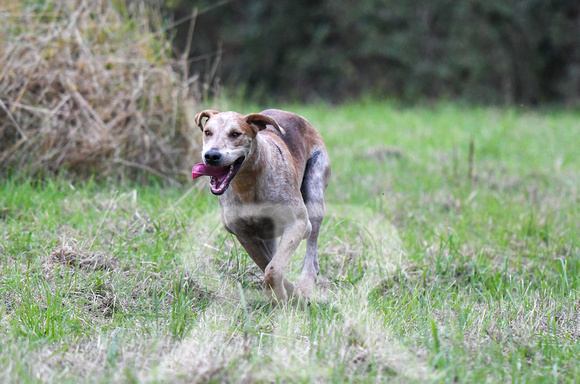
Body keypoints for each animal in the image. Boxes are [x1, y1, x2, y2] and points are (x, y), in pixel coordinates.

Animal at [191, 109, 330, 304]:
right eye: (207, 132)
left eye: (235, 134)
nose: (211, 156)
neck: (247, 184)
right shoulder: (243, 234)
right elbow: (266, 264)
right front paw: (281, 295)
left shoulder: (297, 223)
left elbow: (273, 269)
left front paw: (282, 296)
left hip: (314, 188)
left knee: (311, 251)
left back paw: (304, 290)